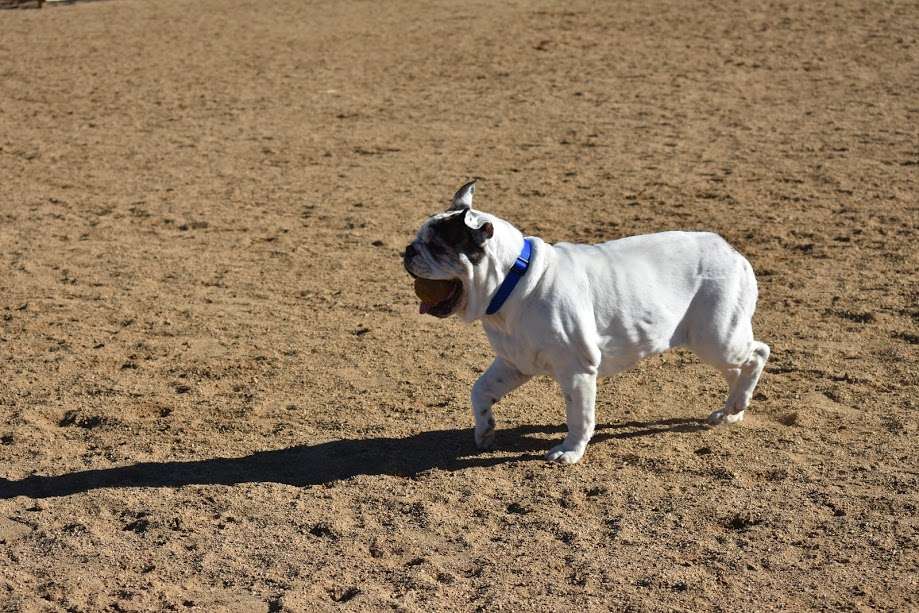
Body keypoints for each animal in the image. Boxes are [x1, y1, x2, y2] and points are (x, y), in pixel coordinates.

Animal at [402, 182, 768, 464]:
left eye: (437, 246)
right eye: (419, 240)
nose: (408, 250)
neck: (514, 282)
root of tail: (731, 251)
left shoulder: (577, 371)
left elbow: (579, 417)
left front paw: (570, 452)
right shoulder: (513, 364)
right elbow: (480, 391)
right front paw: (485, 431)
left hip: (717, 338)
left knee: (757, 354)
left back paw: (737, 403)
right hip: (716, 344)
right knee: (737, 371)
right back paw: (732, 411)